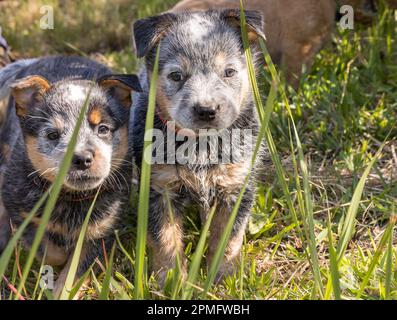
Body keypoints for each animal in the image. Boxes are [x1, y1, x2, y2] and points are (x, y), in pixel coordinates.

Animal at [0, 55, 142, 298]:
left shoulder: (100, 233)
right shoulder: (20, 213)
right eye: (53, 135)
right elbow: (46, 248)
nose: (82, 158)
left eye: (103, 129)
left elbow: (73, 274)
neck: (71, 199)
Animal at [131, 8, 266, 282]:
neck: (201, 146)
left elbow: (228, 238)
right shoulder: (159, 188)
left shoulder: (235, 187)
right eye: (176, 76)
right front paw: (171, 280)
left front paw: (223, 277)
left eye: (229, 72)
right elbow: (165, 239)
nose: (207, 110)